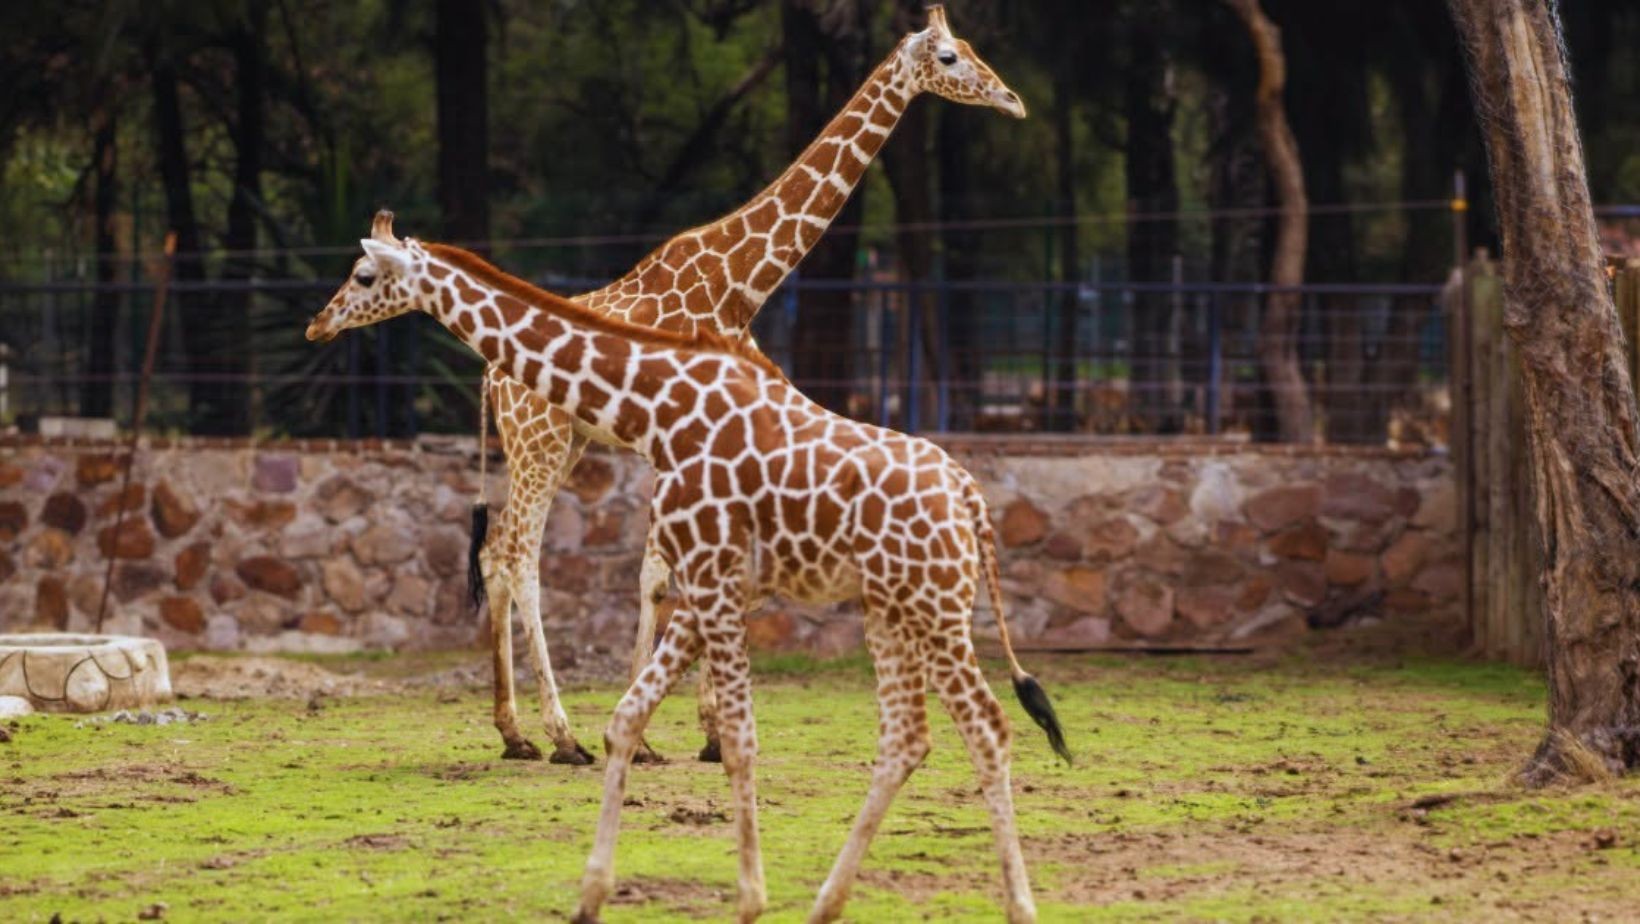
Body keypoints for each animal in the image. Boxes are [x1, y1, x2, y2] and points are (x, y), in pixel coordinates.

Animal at [305, 219, 1071, 924]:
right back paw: (827, 901)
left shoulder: (712, 574)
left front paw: (749, 899)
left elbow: (737, 739)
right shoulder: (707, 585)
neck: (652, 408)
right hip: (890, 608)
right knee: (906, 739)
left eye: (365, 275)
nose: (318, 322)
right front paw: (591, 893)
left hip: (933, 607)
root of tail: (971, 498)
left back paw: (1018, 907)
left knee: (987, 727)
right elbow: (627, 720)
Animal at [475, 4, 1026, 765]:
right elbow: (665, 574)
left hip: (553, 444)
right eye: (948, 57)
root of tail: (489, 375)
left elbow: (672, 573)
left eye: (970, 48)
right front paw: (674, 729)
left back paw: (514, 731)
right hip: (540, 440)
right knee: (520, 557)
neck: (741, 282)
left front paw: (686, 731)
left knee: (494, 552)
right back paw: (562, 735)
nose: (1012, 99)